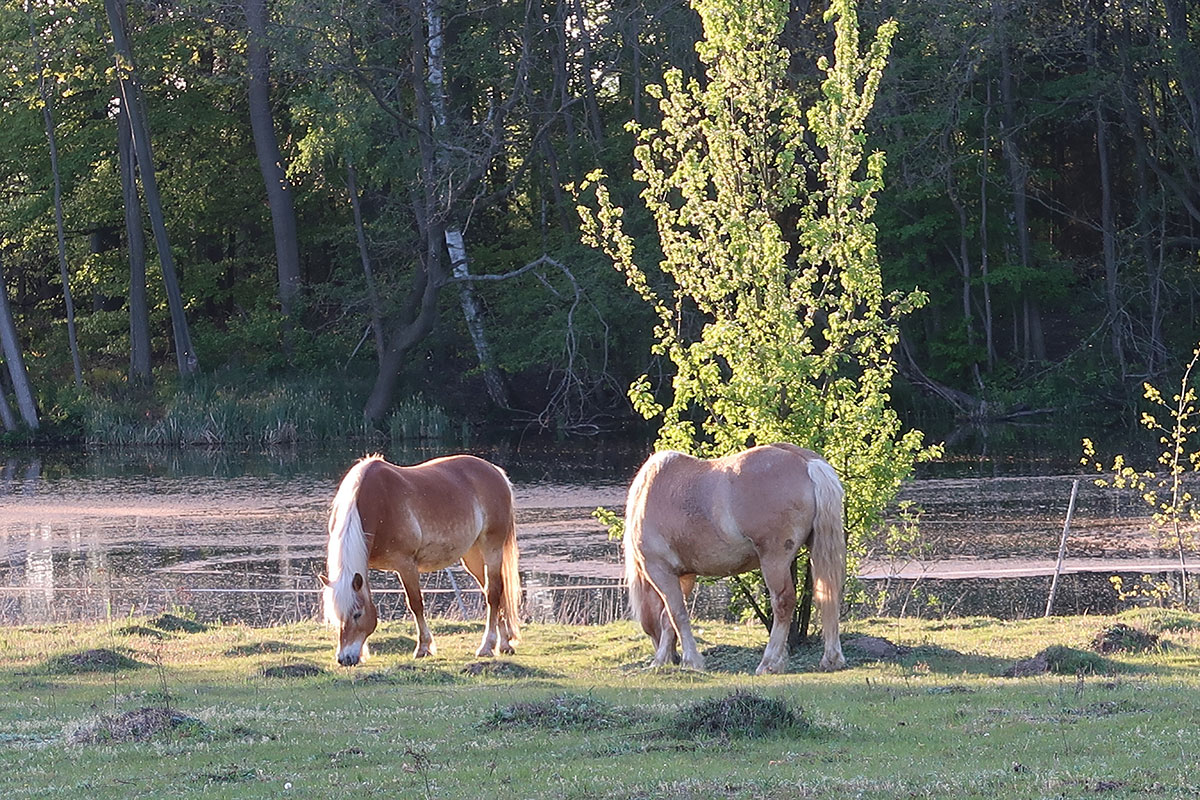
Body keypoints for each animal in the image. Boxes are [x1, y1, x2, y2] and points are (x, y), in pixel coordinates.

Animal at [321, 453, 523, 666]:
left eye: (357, 614)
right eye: (336, 616)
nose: (345, 659)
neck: (379, 502)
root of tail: (495, 471)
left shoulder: (406, 565)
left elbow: (415, 604)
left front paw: (423, 648)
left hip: (492, 548)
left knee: (493, 593)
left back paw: (487, 646)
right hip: (473, 556)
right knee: (494, 592)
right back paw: (504, 644)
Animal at [624, 443, 849, 676]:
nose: (674, 658)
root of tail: (805, 461)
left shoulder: (660, 570)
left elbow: (676, 613)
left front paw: (685, 660)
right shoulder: (685, 575)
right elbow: (669, 617)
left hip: (774, 560)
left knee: (783, 603)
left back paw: (769, 663)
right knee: (828, 595)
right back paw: (831, 659)